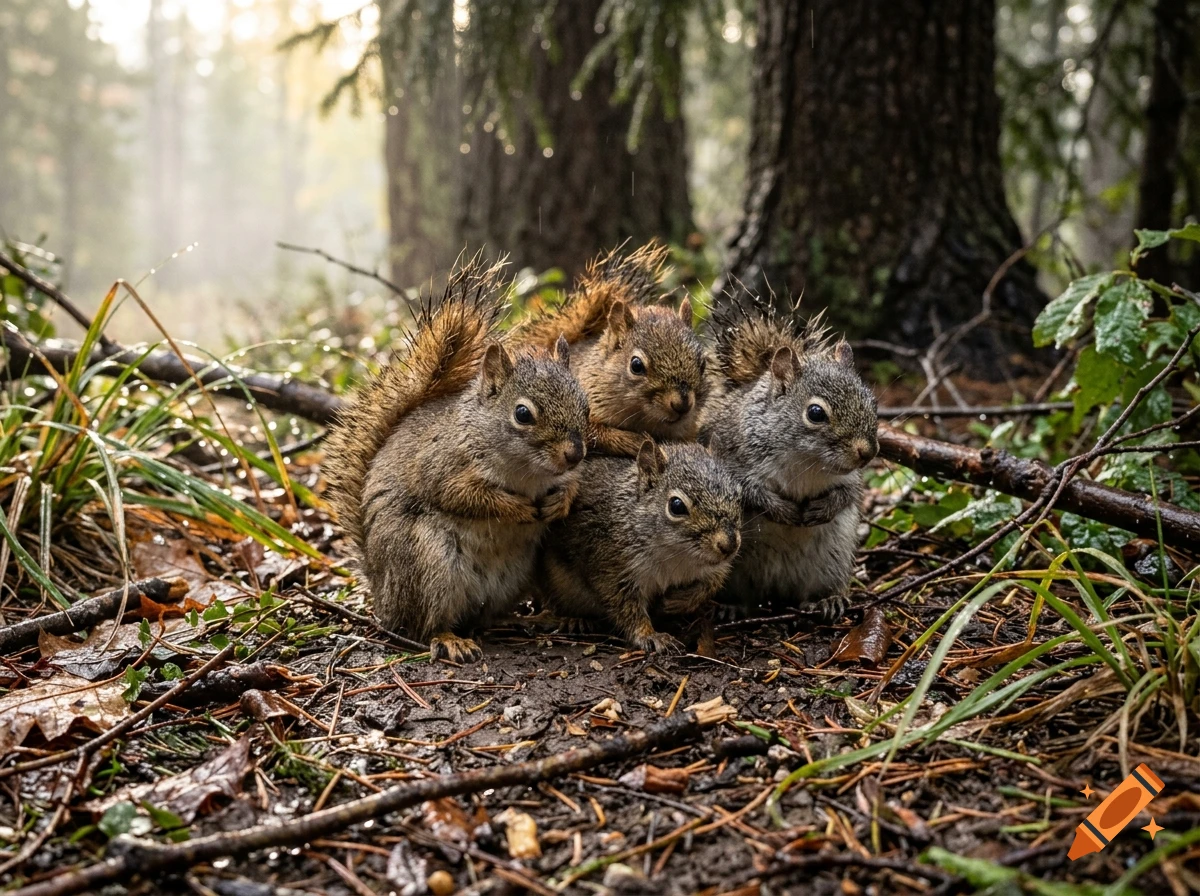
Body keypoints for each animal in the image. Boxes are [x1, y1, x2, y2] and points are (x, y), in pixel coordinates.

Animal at [324, 262, 591, 663]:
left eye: (585, 406)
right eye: (523, 414)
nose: (574, 453)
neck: (528, 474)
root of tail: (382, 596)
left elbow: (570, 484)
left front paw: (560, 501)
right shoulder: (441, 465)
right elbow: (460, 496)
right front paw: (515, 509)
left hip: (512, 576)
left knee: (484, 616)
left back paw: (532, 620)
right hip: (428, 565)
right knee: (424, 625)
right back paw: (450, 639)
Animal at [539, 438, 743, 654]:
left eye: (739, 495)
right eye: (676, 506)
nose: (729, 545)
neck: (676, 555)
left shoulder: (715, 568)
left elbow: (709, 585)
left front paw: (677, 602)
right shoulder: (612, 564)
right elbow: (625, 606)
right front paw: (649, 635)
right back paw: (574, 620)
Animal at [699, 294, 879, 619]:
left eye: (872, 401)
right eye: (816, 413)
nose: (867, 452)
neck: (806, 461)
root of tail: (775, 593)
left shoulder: (850, 477)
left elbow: (848, 494)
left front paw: (821, 509)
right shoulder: (732, 459)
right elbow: (751, 494)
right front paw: (784, 511)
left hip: (831, 564)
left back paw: (829, 601)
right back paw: (731, 606)